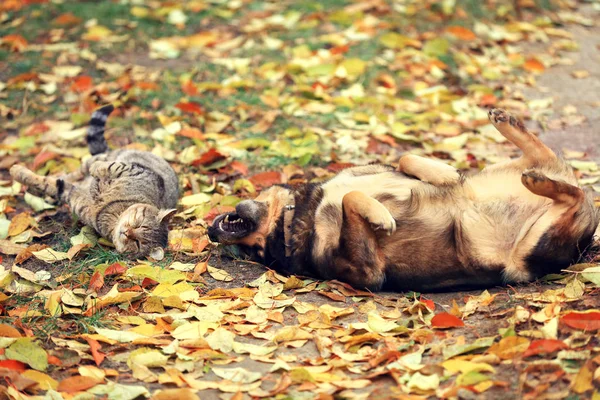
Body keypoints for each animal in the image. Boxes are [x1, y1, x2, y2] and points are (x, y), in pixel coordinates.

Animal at [9, 103, 178, 260]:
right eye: (140, 223)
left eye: (138, 243)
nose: (127, 232)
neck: (115, 211)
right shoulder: (137, 171)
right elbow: (110, 167)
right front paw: (17, 171)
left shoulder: (74, 198)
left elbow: (50, 184)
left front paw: (18, 173)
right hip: (105, 158)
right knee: (83, 169)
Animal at [209, 108, 596, 290]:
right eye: (254, 253)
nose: (211, 231)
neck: (299, 213)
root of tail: (588, 238)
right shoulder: (366, 272)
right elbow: (352, 199)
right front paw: (380, 216)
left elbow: (402, 158)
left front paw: (442, 173)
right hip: (530, 251)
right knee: (573, 193)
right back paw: (540, 180)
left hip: (493, 173)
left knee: (545, 161)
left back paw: (506, 125)